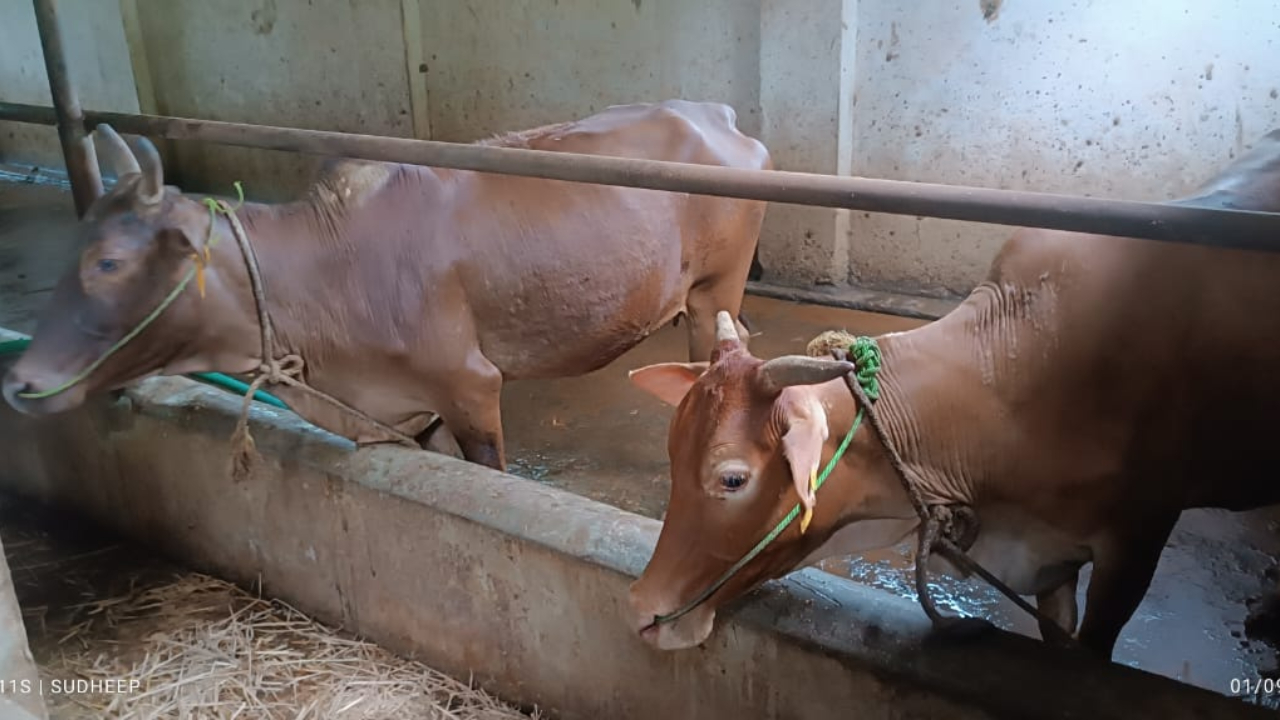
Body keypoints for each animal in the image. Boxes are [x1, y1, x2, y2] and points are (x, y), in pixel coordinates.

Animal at [2, 100, 770, 471]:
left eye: (107, 262)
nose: (20, 380)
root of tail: (715, 114)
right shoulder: (409, 412)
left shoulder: (470, 385)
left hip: (714, 288)